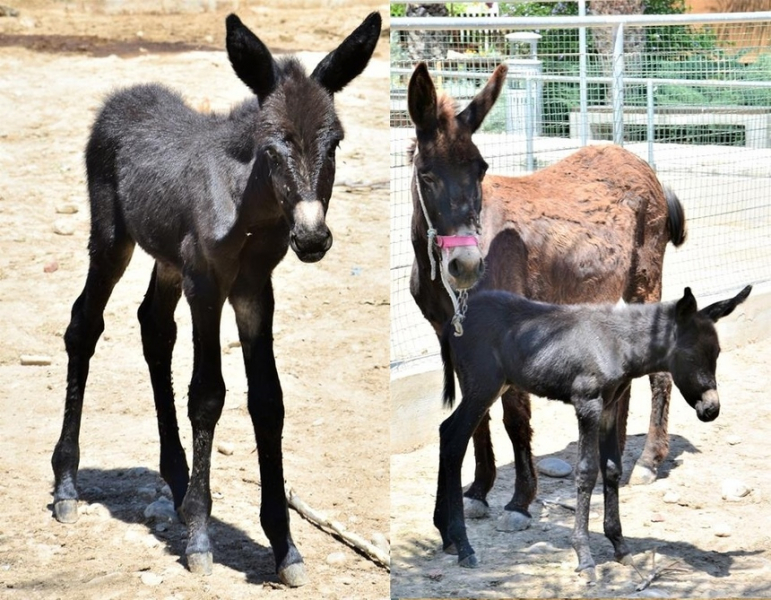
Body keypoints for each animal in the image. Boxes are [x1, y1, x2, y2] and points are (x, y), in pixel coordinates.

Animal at [49, 11, 382, 588]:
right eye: (272, 146)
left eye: (335, 142)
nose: (312, 239)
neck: (250, 208)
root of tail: (125, 96)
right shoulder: (206, 284)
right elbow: (207, 395)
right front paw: (201, 537)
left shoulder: (253, 290)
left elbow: (268, 400)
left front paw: (284, 546)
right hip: (112, 239)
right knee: (83, 324)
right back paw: (69, 481)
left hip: (166, 259)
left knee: (153, 326)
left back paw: (179, 481)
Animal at [440, 286, 752, 580]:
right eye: (689, 355)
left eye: (716, 353)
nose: (711, 409)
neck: (618, 345)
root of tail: (452, 322)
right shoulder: (587, 405)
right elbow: (587, 472)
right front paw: (585, 556)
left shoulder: (609, 408)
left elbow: (612, 469)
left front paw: (620, 547)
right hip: (483, 385)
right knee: (455, 438)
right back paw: (464, 545)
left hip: (493, 385)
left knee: (447, 432)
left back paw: (448, 538)